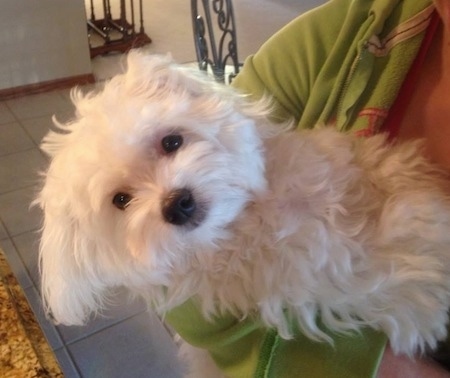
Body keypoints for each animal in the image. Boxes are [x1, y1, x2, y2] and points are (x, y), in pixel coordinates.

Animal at [37, 51, 450, 374]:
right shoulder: (307, 273)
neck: (249, 221)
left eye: (171, 141)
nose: (177, 204)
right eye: (121, 200)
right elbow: (378, 267)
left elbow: (380, 175)